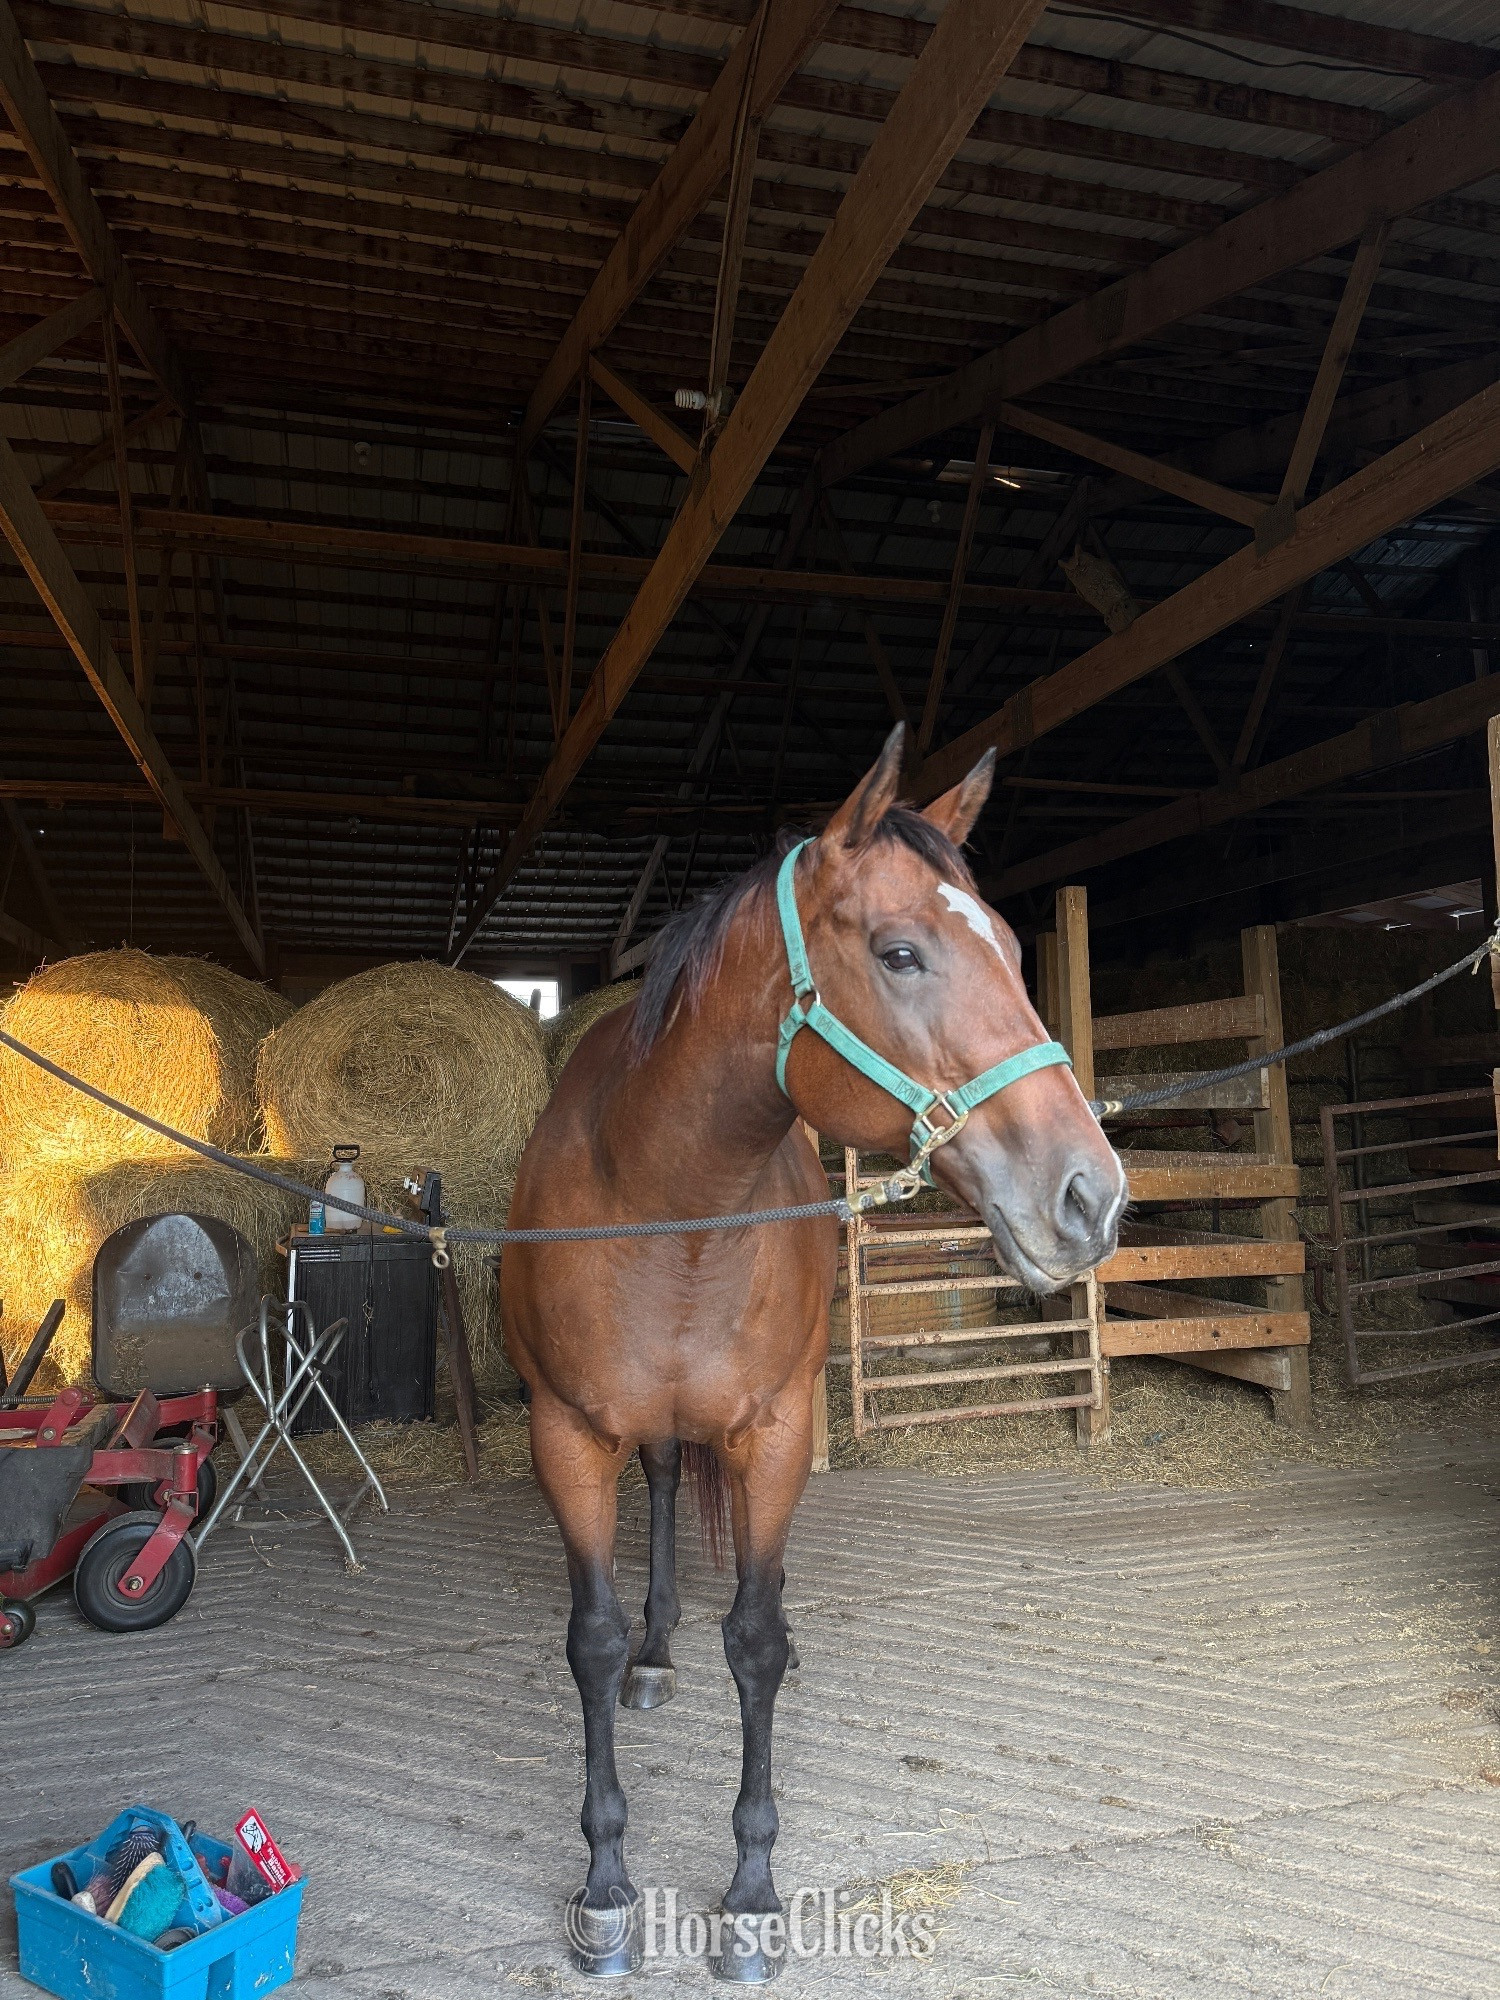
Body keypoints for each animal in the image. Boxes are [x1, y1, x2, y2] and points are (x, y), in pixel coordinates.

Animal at [500, 723, 1125, 1979]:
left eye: (1014, 948)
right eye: (901, 952)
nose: (1091, 1194)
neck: (666, 1205)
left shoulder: (779, 1428)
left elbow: (755, 1637)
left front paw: (750, 1892)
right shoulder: (567, 1435)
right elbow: (589, 1638)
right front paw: (606, 1882)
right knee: (658, 1491)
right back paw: (655, 1653)